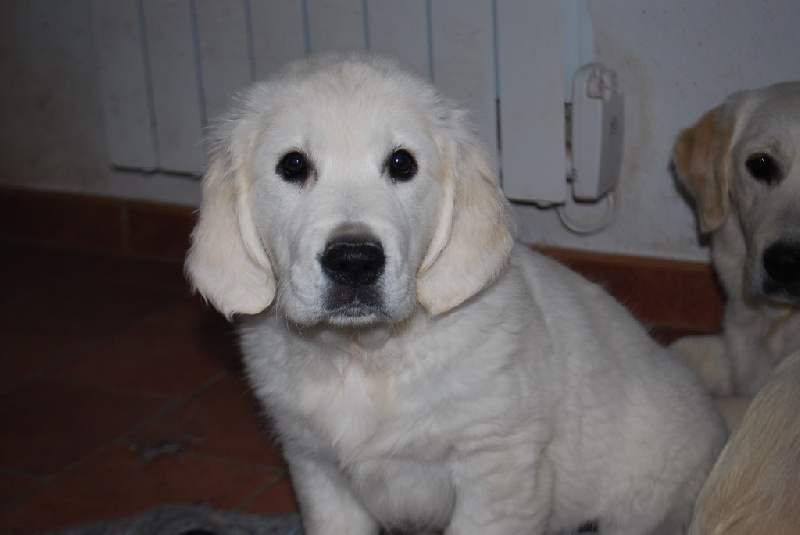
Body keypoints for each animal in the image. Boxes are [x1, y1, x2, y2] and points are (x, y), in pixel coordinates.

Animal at [186, 51, 724, 535]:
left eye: (402, 163)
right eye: (293, 164)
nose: (355, 261)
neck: (365, 357)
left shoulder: (497, 467)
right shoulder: (315, 466)